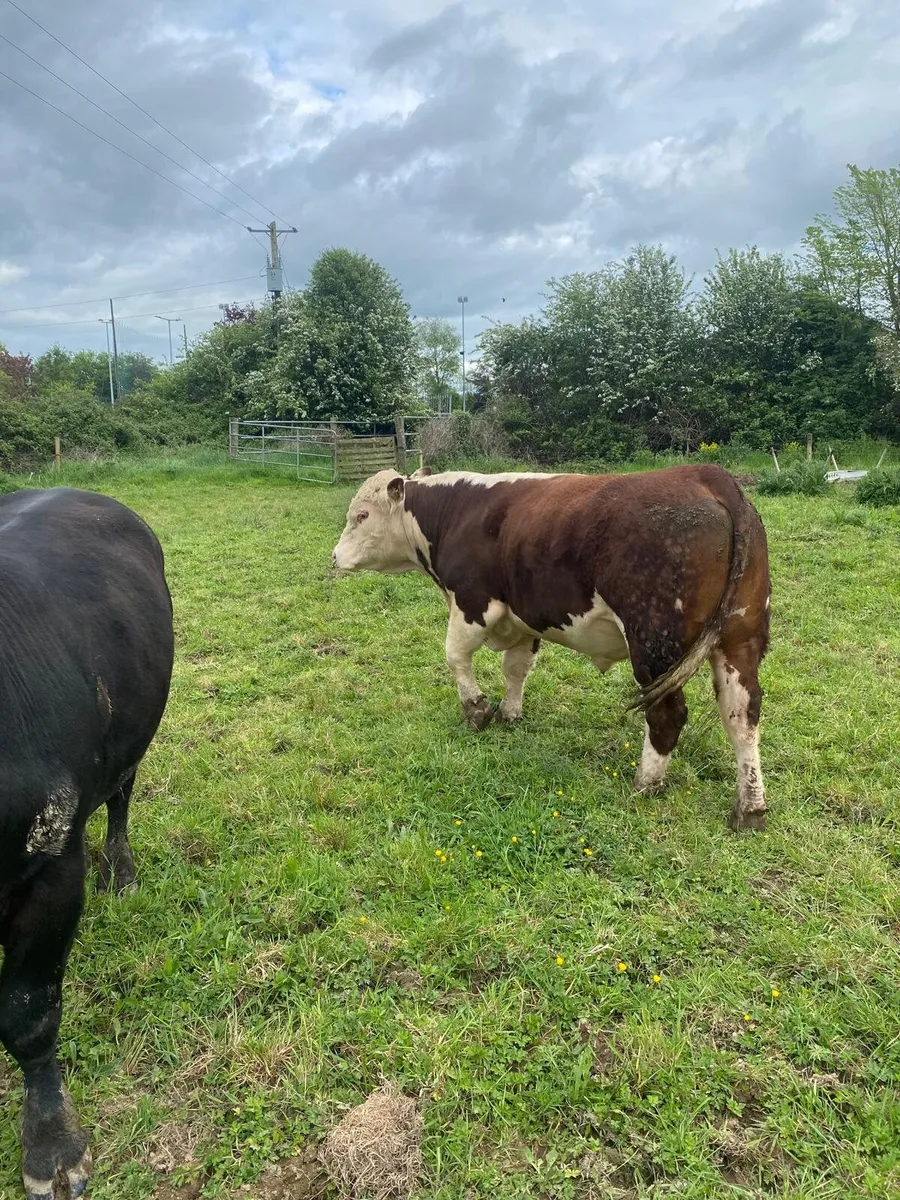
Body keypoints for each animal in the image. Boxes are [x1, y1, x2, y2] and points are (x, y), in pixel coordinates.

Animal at [332, 464, 771, 831]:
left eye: (362, 516)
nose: (334, 557)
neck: (456, 511)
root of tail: (706, 475)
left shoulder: (473, 603)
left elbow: (455, 656)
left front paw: (476, 710)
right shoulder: (525, 618)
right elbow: (515, 668)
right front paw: (509, 712)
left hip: (654, 643)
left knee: (667, 713)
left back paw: (646, 781)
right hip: (740, 637)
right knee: (742, 715)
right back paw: (750, 806)